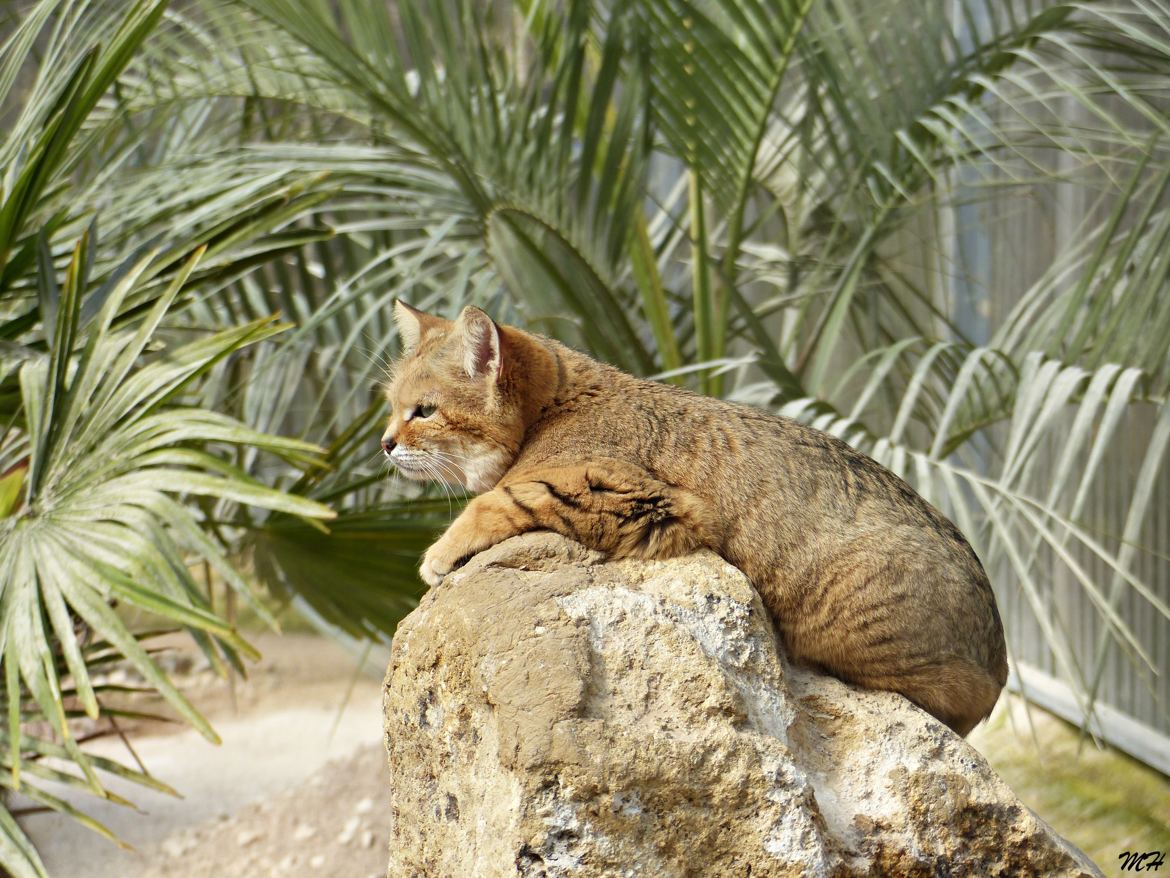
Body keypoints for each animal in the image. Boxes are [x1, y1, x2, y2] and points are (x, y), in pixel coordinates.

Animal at [381, 302, 1006, 735]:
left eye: (425, 411)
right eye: (391, 406)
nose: (385, 443)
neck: (555, 404)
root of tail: (999, 661)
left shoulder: (625, 492)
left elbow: (500, 499)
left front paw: (440, 553)